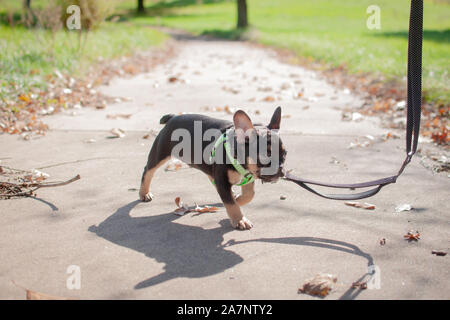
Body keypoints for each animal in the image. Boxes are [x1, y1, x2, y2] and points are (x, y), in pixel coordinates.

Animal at [141, 107, 286, 230]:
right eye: (266, 155)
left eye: (284, 154)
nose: (281, 169)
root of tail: (173, 117)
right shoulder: (223, 180)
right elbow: (231, 203)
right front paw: (240, 220)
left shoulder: (247, 177)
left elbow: (249, 195)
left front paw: (238, 199)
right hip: (160, 153)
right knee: (148, 171)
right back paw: (144, 193)